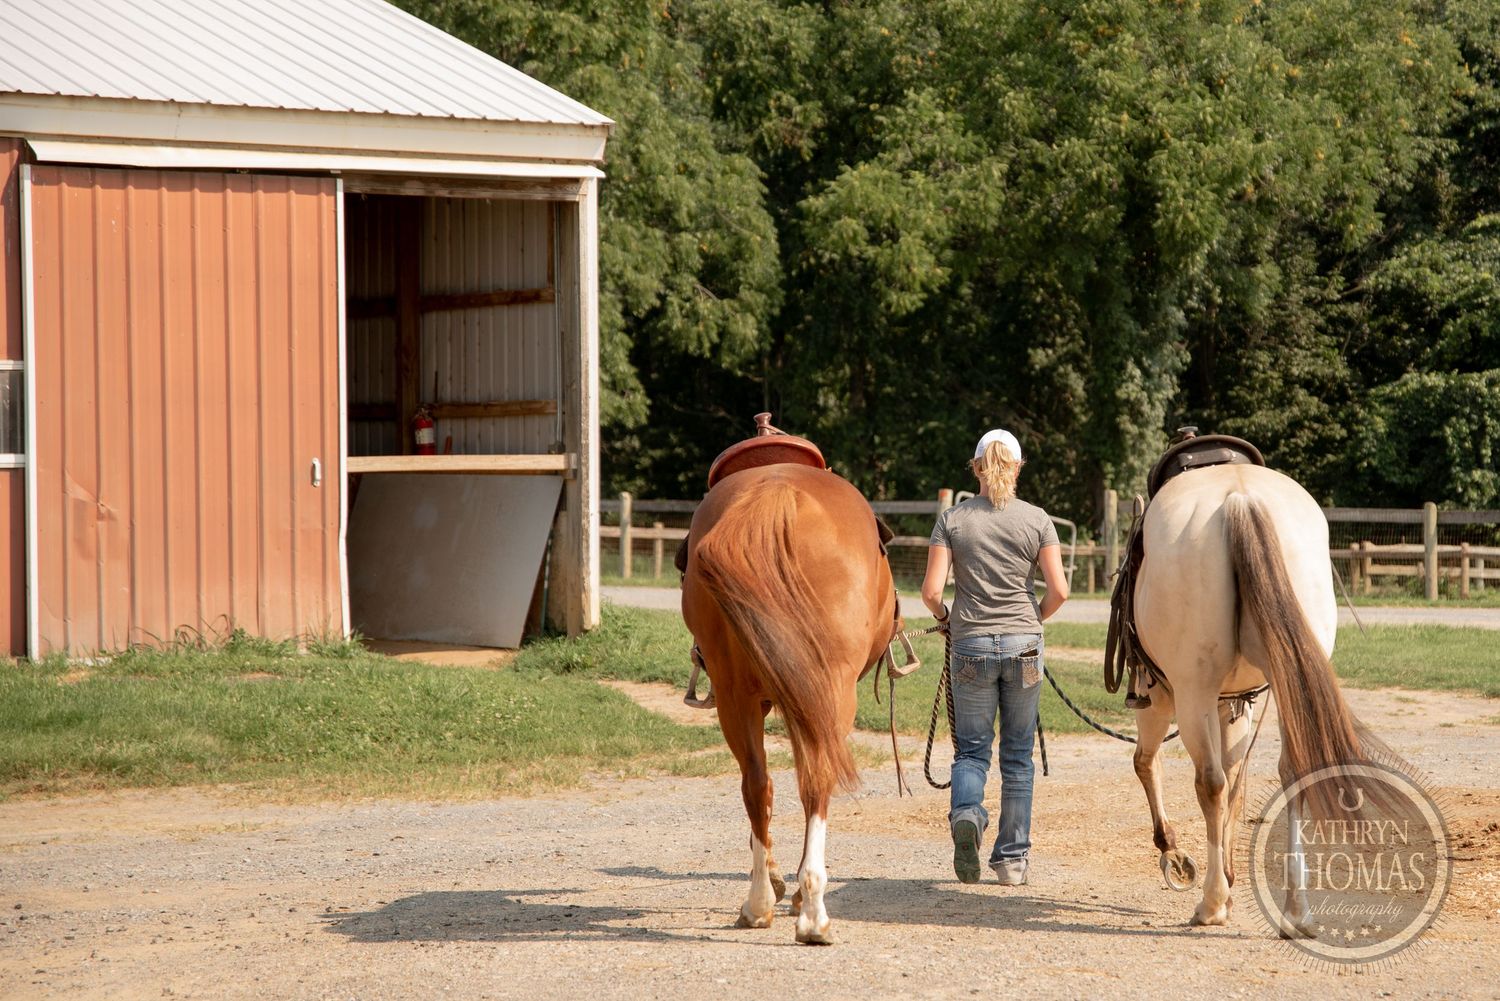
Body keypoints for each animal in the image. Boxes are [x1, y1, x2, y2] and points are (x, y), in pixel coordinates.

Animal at [680, 462, 898, 944]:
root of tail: (776, 494)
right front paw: (791, 886)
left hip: (736, 697)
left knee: (757, 784)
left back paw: (763, 902)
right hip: (829, 694)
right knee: (815, 782)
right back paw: (807, 909)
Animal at [1128, 462, 1386, 934]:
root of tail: (1240, 499)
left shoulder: (1162, 693)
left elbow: (1150, 763)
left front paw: (1176, 854)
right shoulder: (1232, 704)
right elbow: (1236, 779)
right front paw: (1227, 873)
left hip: (1191, 690)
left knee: (1208, 781)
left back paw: (1210, 903)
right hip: (1283, 682)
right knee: (1291, 772)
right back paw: (1296, 911)